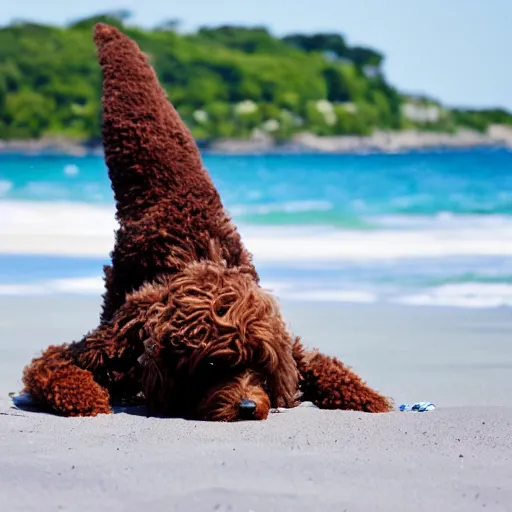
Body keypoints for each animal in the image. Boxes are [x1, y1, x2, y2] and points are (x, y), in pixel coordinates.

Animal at [20, 23, 392, 420]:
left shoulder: (285, 343)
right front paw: (85, 395)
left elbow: (320, 363)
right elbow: (53, 365)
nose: (247, 406)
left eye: (259, 364)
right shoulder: (109, 341)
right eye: (212, 365)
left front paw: (364, 395)